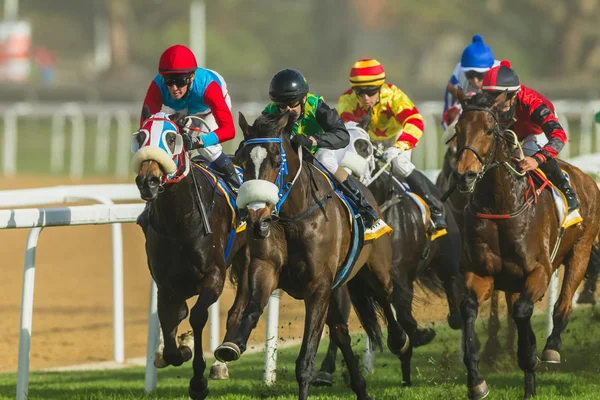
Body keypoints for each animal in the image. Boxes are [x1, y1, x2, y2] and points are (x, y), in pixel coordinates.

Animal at [134, 107, 248, 400]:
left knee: (240, 304)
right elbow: (171, 319)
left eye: (172, 137)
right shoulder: (166, 284)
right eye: (140, 136)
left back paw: (223, 358)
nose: (148, 181)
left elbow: (198, 316)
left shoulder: (214, 275)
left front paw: (198, 381)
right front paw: (178, 350)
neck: (179, 221)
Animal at [213, 111, 410, 400]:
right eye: (241, 160)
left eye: (276, 161)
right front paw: (233, 344)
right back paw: (360, 387)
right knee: (341, 332)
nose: (256, 218)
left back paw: (400, 340)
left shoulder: (318, 287)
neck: (293, 219)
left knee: (386, 297)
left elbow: (306, 360)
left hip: (375, 269)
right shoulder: (266, 268)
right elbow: (253, 308)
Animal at [454, 90, 600, 400]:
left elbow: (524, 312)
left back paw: (551, 348)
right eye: (458, 130)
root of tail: (585, 178)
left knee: (563, 304)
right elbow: (470, 308)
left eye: (489, 130)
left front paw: (532, 354)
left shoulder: (540, 271)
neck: (501, 205)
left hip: (580, 252)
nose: (465, 175)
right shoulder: (481, 273)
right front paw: (476, 381)